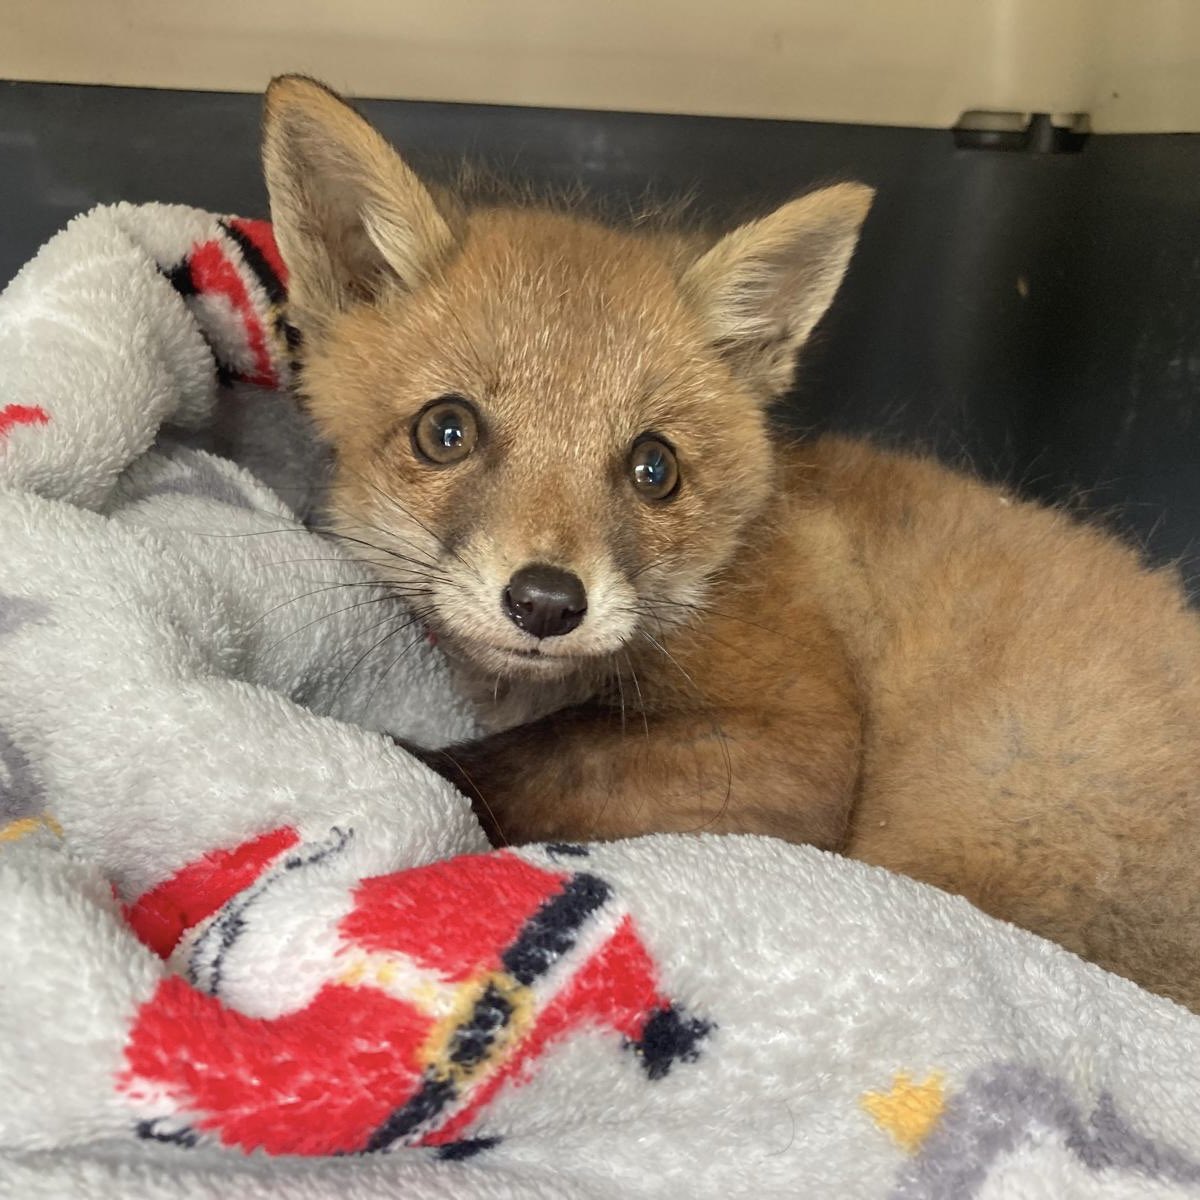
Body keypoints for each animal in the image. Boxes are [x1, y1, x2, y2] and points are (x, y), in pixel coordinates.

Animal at [262, 75, 1200, 1011]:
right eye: (446, 430)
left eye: (654, 467)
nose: (547, 603)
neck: (727, 566)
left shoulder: (797, 745)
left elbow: (537, 760)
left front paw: (402, 766)